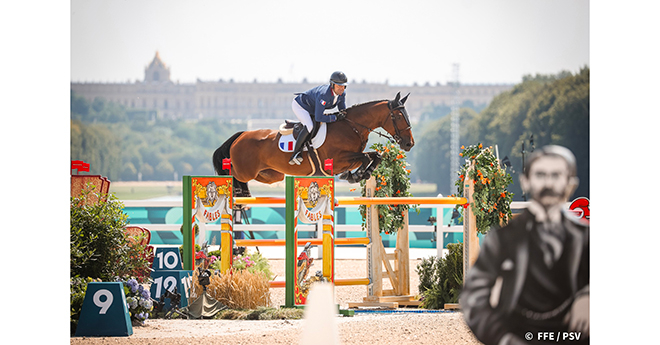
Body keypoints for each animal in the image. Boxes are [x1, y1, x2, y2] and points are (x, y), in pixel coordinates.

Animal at [214, 90, 416, 196]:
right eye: (399, 116)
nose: (409, 144)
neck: (352, 127)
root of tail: (240, 135)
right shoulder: (337, 160)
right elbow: (366, 157)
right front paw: (357, 175)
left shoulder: (348, 159)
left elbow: (376, 156)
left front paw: (358, 174)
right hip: (244, 171)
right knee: (231, 174)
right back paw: (238, 192)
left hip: (271, 175)